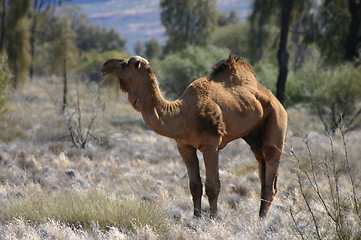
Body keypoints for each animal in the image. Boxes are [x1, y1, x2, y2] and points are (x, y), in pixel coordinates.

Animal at [101, 54, 286, 218]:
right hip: (255, 137)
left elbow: (213, 185)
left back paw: (262, 220)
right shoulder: (185, 147)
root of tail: (274, 98)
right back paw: (260, 216)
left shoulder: (211, 146)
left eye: (124, 64)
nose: (105, 64)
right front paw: (196, 217)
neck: (183, 114)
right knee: (262, 167)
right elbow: (195, 185)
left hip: (276, 119)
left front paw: (213, 218)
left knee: (270, 165)